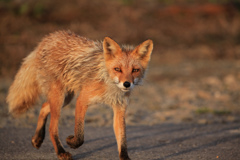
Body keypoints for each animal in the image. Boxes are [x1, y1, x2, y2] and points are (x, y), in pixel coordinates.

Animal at [6, 30, 153, 160]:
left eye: (135, 70)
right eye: (118, 69)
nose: (127, 84)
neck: (109, 86)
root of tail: (48, 38)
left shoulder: (119, 108)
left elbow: (122, 140)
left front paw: (125, 157)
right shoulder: (82, 100)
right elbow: (80, 135)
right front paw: (71, 142)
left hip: (66, 98)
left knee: (44, 106)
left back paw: (37, 139)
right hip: (59, 97)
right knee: (52, 128)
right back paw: (60, 152)